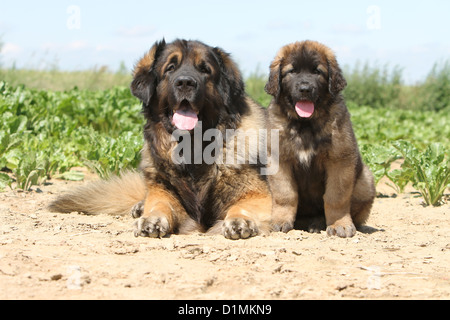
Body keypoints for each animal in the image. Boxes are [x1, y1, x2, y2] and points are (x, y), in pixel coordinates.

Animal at [51, 38, 272, 240]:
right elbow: (160, 202)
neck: (193, 148)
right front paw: (152, 219)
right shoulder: (164, 188)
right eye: (170, 68)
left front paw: (239, 219)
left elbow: (244, 205)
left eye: (204, 69)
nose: (185, 82)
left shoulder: (259, 194)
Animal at [266, 40, 374, 238]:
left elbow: (336, 197)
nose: (305, 89)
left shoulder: (340, 160)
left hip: (366, 181)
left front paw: (339, 224)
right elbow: (285, 195)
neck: (306, 124)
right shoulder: (279, 160)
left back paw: (319, 223)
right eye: (292, 71)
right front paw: (280, 221)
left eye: (317, 71)